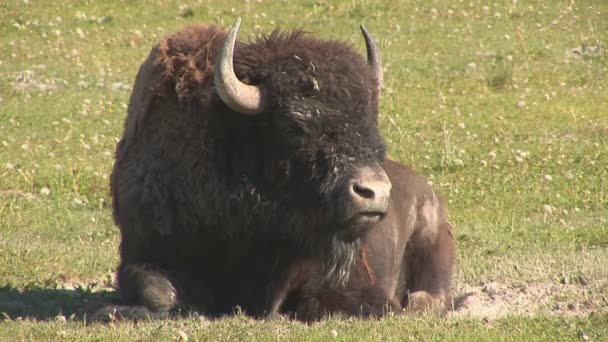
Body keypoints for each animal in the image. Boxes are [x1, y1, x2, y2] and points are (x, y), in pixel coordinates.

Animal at [107, 20, 454, 322]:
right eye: (293, 126)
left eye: (370, 118)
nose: (375, 192)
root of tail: (428, 193)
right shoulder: (143, 250)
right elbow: (158, 291)